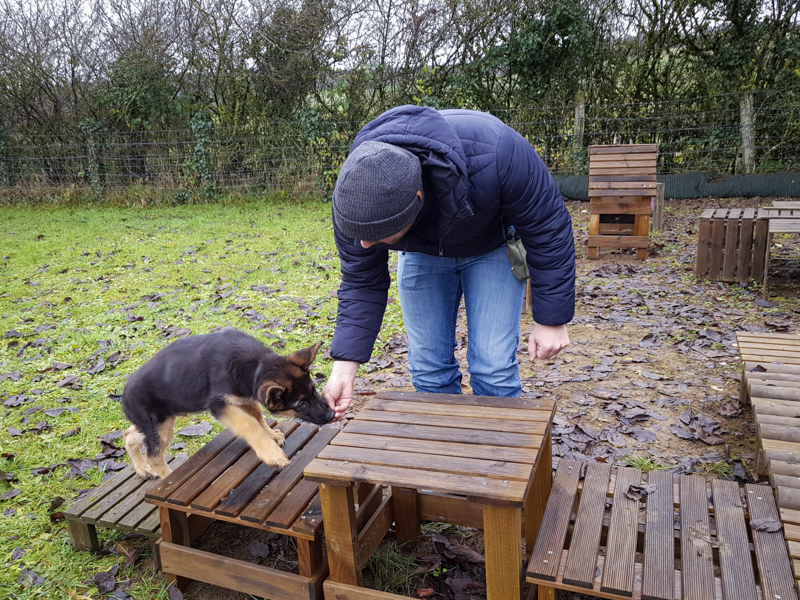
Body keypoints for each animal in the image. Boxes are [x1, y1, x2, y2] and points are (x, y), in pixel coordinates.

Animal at [121, 328, 334, 478]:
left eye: (314, 390)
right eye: (300, 405)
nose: (332, 415)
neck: (257, 365)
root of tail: (123, 395)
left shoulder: (244, 399)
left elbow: (258, 418)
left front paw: (271, 434)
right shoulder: (219, 404)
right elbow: (249, 424)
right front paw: (272, 454)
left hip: (157, 423)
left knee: (129, 434)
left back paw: (142, 468)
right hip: (161, 427)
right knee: (154, 455)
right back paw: (168, 478)